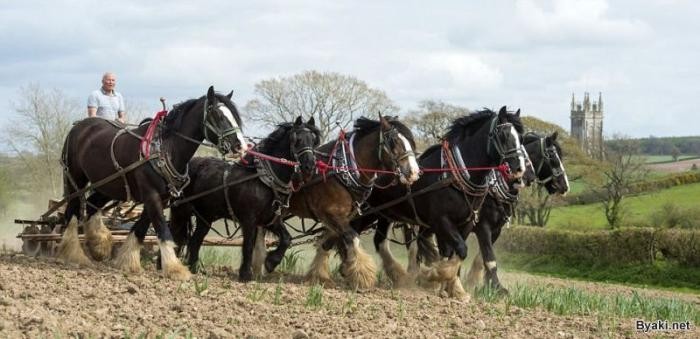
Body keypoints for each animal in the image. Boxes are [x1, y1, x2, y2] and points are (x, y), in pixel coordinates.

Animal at [170, 117, 322, 282]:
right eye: (297, 140)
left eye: (313, 141)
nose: (309, 166)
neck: (263, 180)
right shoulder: (249, 220)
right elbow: (248, 246)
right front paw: (245, 274)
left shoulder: (271, 219)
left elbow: (287, 239)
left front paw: (271, 262)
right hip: (181, 210)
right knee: (174, 235)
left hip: (205, 217)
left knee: (195, 240)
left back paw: (194, 268)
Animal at [348, 107, 524, 298]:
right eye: (504, 135)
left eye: (521, 138)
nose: (520, 168)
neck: (453, 175)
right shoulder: (443, 221)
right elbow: (461, 250)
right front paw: (436, 276)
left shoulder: (467, 223)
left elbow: (455, 253)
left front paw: (452, 287)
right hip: (365, 212)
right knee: (350, 233)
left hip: (385, 214)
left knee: (378, 241)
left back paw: (398, 276)